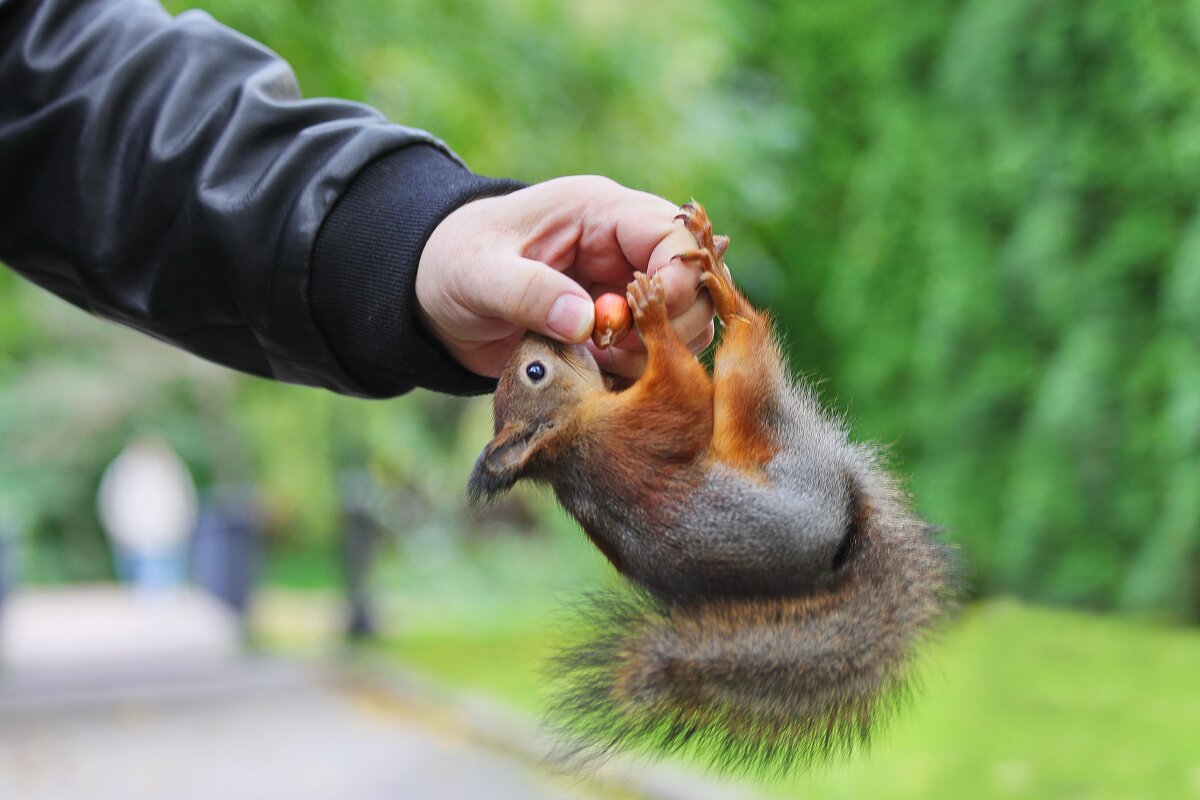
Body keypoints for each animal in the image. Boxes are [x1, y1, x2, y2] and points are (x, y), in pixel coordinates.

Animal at [463, 200, 950, 777]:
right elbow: (684, 397)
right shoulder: (629, 435)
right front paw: (650, 313)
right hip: (764, 429)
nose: (535, 335)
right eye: (535, 371)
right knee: (746, 349)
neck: (572, 437)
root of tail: (841, 523)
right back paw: (724, 291)